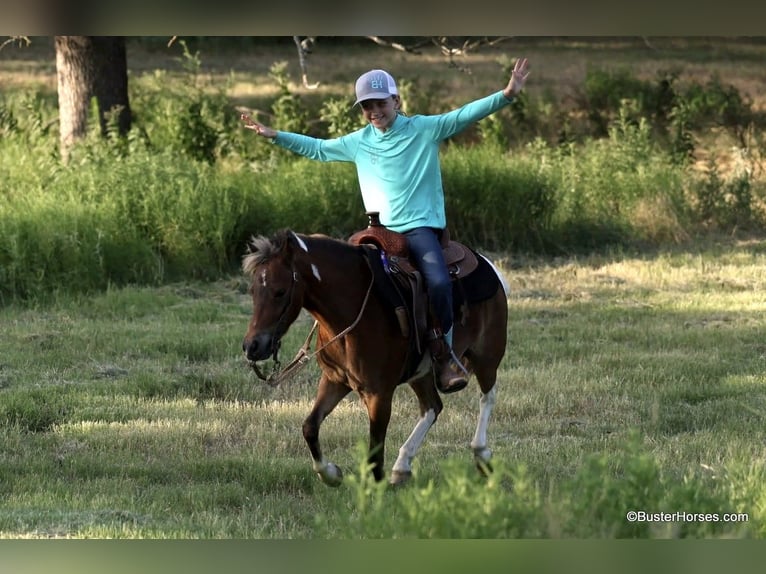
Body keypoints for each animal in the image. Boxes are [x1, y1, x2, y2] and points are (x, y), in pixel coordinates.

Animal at [243, 228, 510, 486]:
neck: (354, 307)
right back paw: (402, 467)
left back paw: (481, 453)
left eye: (280, 291)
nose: (252, 346)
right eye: (252, 290)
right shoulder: (335, 381)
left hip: (487, 355)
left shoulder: (379, 394)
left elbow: (374, 454)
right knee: (432, 407)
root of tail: (487, 264)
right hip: (420, 372)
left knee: (487, 396)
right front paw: (330, 474)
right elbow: (309, 426)